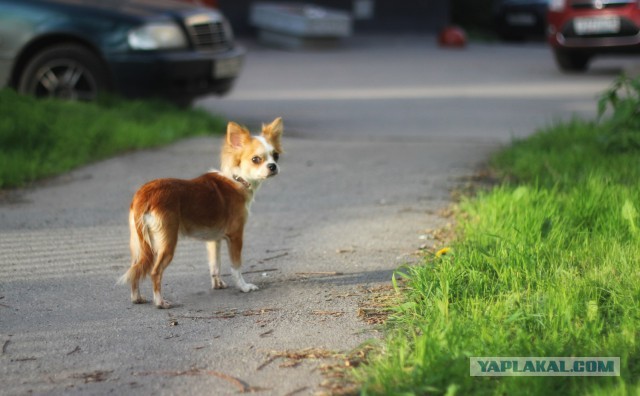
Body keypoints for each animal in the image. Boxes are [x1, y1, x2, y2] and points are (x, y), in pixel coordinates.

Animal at [118, 117, 282, 310]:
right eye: (256, 159)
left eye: (276, 156)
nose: (273, 166)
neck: (236, 179)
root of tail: (146, 194)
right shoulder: (235, 236)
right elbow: (236, 266)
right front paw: (243, 287)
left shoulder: (214, 240)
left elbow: (215, 265)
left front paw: (217, 284)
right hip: (166, 242)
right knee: (154, 272)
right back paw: (160, 302)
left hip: (139, 244)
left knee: (135, 269)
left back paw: (136, 297)